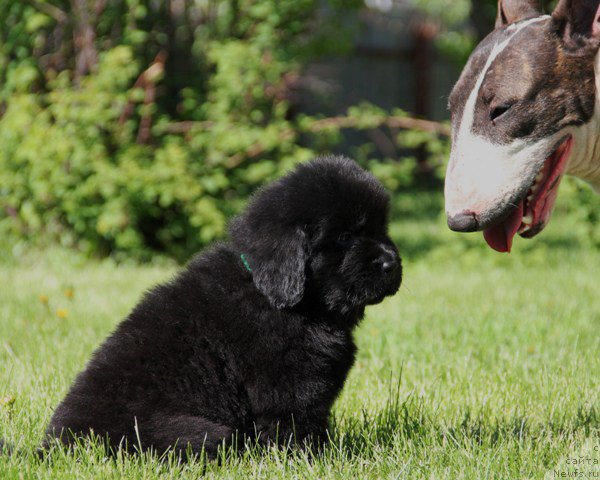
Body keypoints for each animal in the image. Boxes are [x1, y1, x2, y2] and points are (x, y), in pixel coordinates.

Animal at [42, 157, 400, 458]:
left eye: (383, 229)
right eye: (344, 237)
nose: (392, 263)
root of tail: (50, 449)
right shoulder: (289, 390)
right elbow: (297, 431)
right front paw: (318, 460)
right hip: (198, 433)